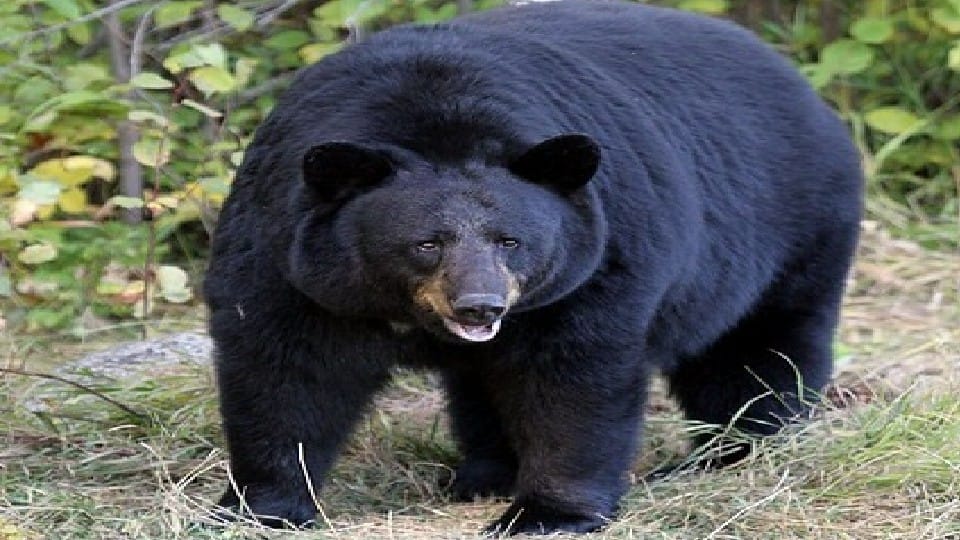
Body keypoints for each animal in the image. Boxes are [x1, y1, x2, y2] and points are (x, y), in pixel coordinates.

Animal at [203, 0, 862, 535]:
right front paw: (262, 507)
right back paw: (483, 474)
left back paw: (739, 450)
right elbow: (284, 369)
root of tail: (800, 83)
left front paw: (547, 514)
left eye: (510, 241)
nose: (480, 306)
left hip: (788, 232)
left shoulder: (594, 262)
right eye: (426, 244)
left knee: (753, 353)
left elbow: (574, 379)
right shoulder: (286, 254)